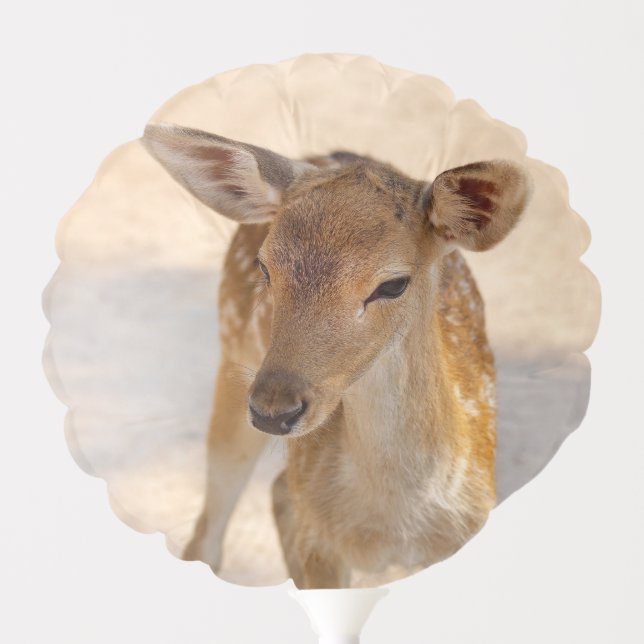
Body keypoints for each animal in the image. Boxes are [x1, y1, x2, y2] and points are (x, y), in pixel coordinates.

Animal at [142, 124, 532, 588]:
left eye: (393, 284)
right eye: (264, 268)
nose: (273, 410)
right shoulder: (321, 546)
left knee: (276, 490)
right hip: (233, 357)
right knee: (210, 532)